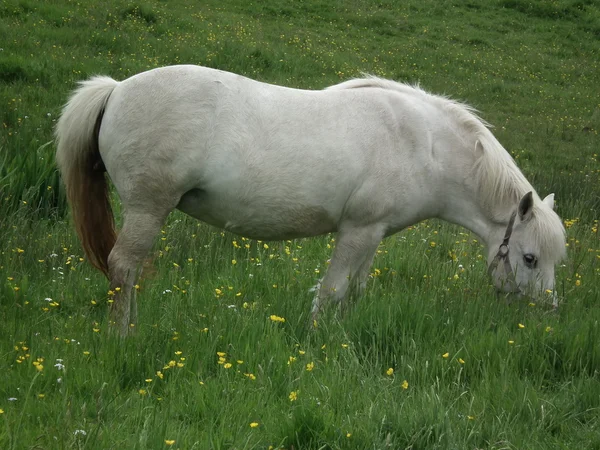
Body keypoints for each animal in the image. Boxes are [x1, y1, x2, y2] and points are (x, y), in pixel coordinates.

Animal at [54, 65, 564, 336]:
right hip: (148, 209)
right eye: (530, 258)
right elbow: (333, 290)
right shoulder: (357, 230)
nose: (548, 311)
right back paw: (123, 335)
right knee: (123, 267)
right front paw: (314, 345)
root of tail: (117, 89)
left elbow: (354, 291)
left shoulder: (373, 234)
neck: (423, 143)